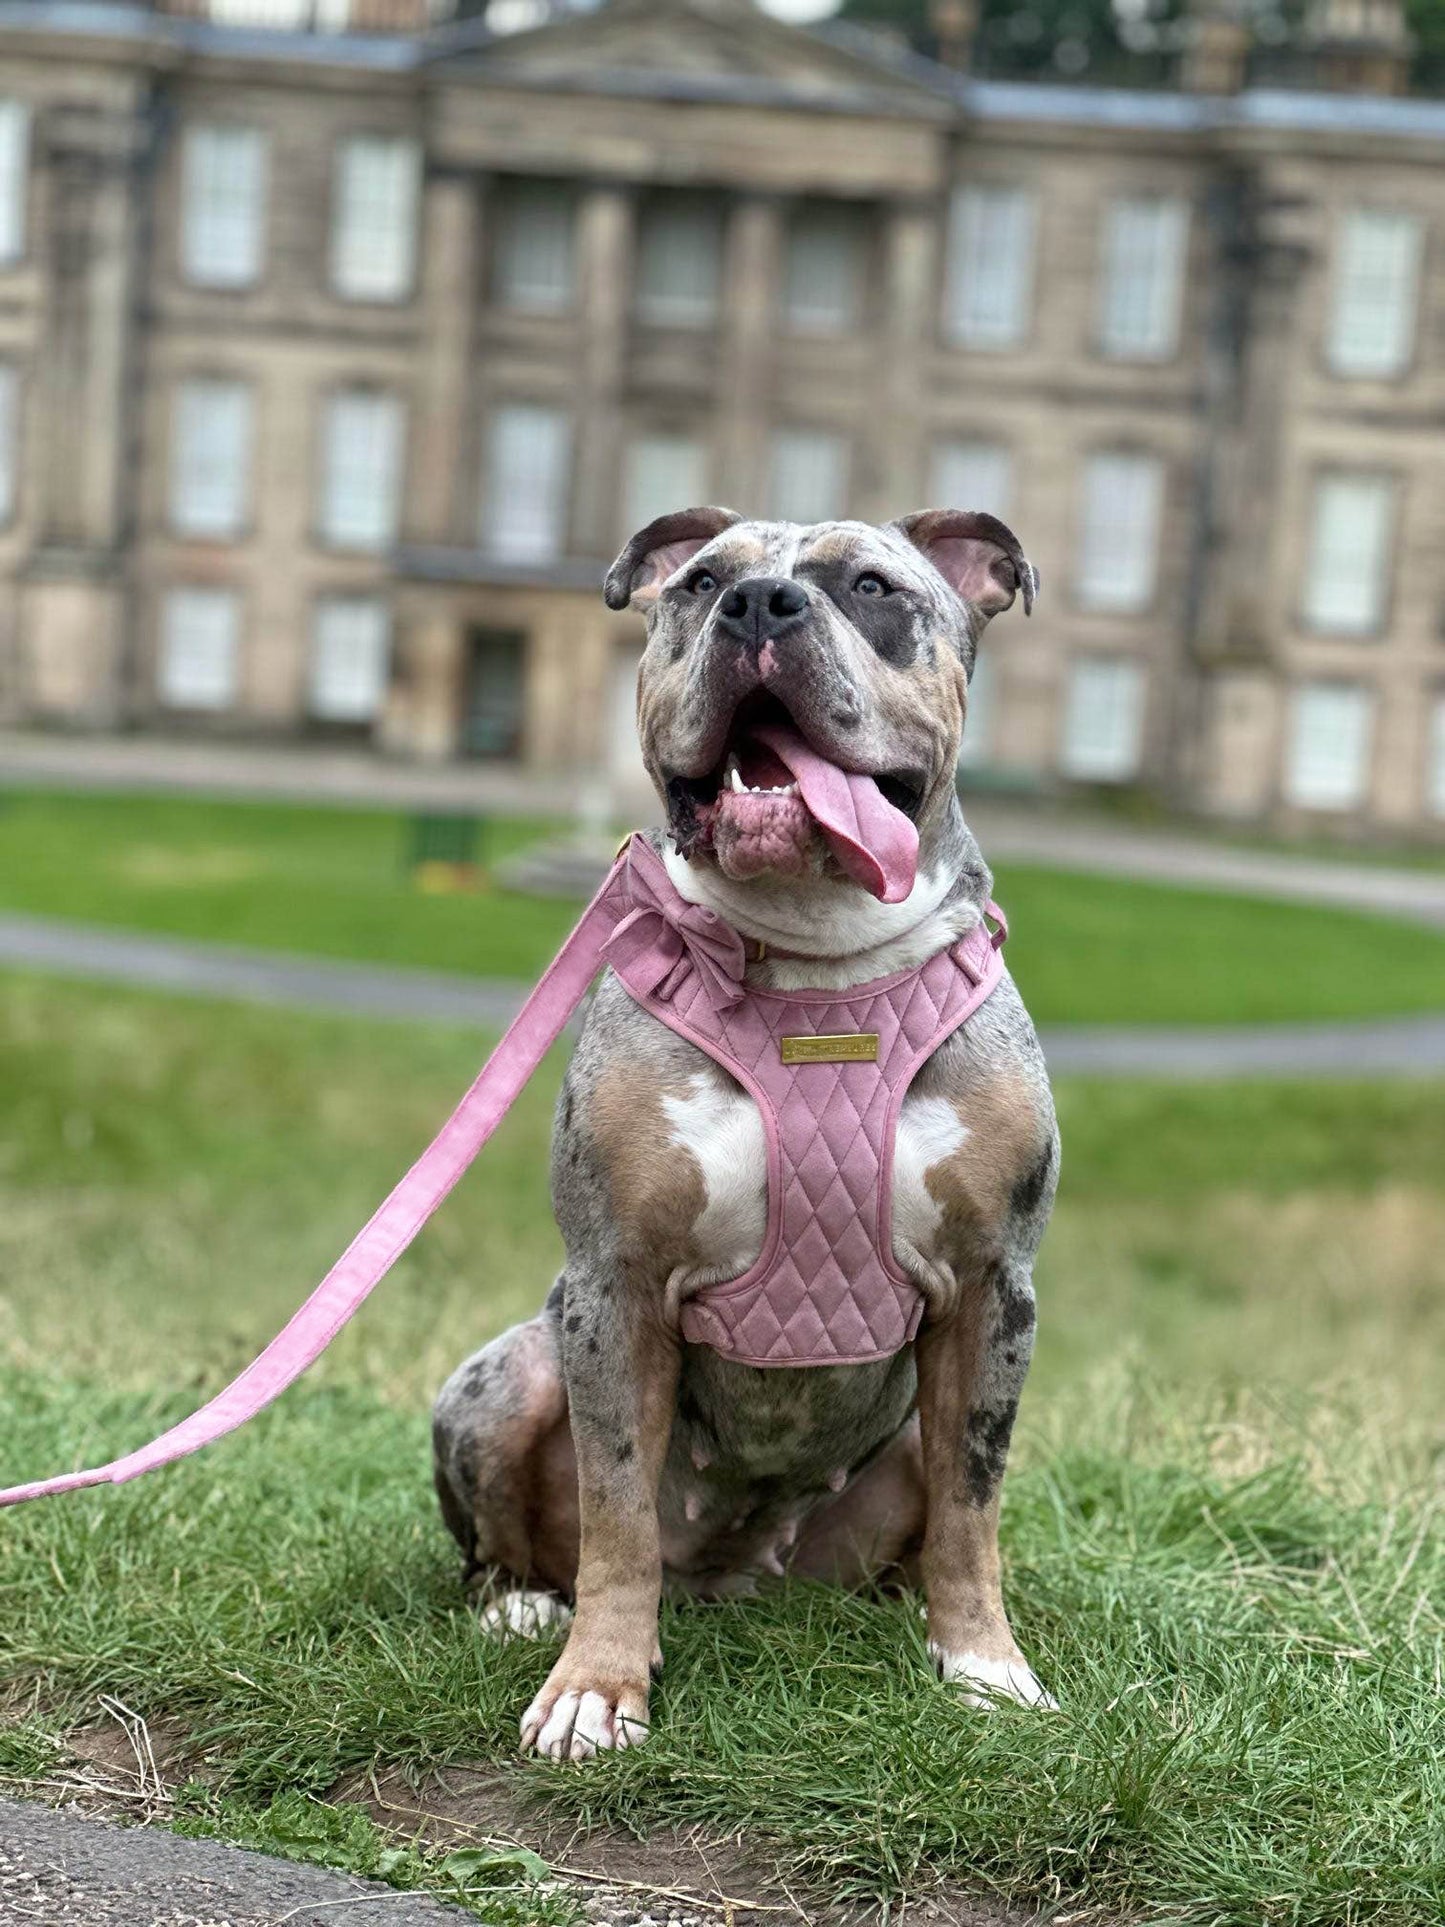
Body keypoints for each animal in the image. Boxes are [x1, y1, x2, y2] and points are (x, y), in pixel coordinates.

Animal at [433, 508, 1063, 1765]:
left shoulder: (991, 1291)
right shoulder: (614, 1287)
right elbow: (618, 1508)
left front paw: (982, 1664)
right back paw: (520, 1602)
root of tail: (727, 1573)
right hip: (508, 1373)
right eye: (698, 582)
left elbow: (973, 1508)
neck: (814, 962)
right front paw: (596, 1685)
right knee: (520, 1540)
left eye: (869, 585)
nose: (759, 604)